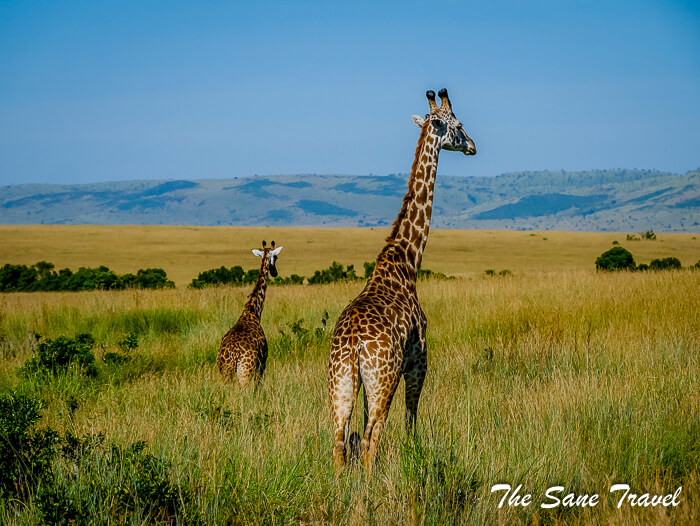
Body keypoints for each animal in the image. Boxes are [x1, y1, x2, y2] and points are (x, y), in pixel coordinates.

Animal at [217, 240, 283, 386]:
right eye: (276, 257)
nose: (275, 273)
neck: (253, 311)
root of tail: (233, 354)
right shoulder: (262, 362)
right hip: (245, 373)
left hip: (225, 373)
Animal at [327, 89, 476, 469]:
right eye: (459, 125)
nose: (472, 145)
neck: (406, 262)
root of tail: (354, 344)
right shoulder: (418, 362)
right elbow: (412, 420)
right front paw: (415, 458)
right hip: (383, 379)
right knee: (370, 439)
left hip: (341, 382)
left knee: (340, 443)